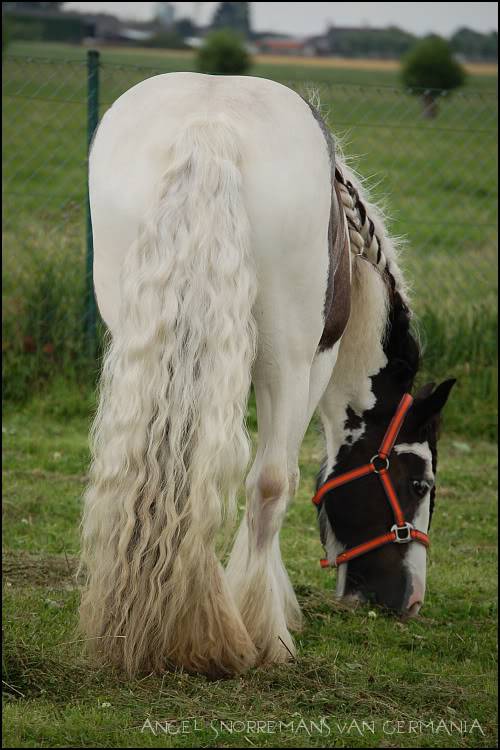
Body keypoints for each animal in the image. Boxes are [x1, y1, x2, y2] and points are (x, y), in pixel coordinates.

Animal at [80, 73, 456, 680]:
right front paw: (275, 613)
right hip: (286, 356)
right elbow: (284, 481)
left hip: (137, 333)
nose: (407, 601)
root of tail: (210, 125)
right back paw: (256, 635)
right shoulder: (315, 364)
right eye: (420, 483)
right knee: (268, 483)